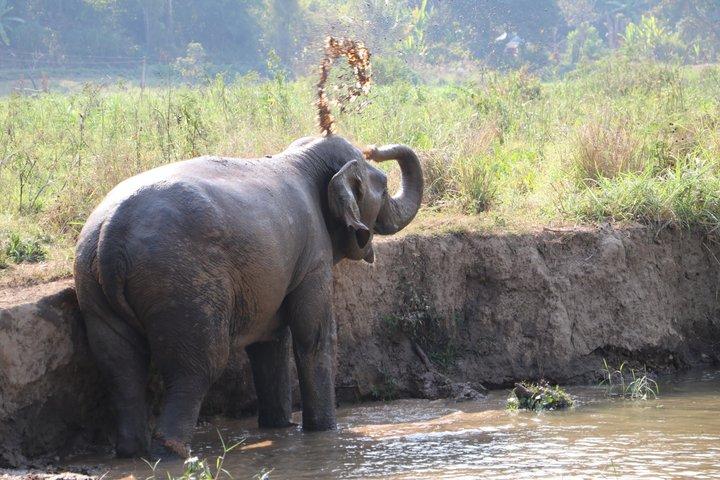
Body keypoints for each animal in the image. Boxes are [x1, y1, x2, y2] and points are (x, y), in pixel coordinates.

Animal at [73, 134, 423, 458]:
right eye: (383, 186)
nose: (374, 147)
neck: (300, 156)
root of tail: (111, 233)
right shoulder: (314, 256)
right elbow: (314, 337)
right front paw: (324, 433)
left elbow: (271, 343)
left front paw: (280, 428)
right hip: (182, 284)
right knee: (196, 368)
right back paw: (173, 454)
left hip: (93, 288)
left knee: (120, 369)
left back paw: (131, 454)